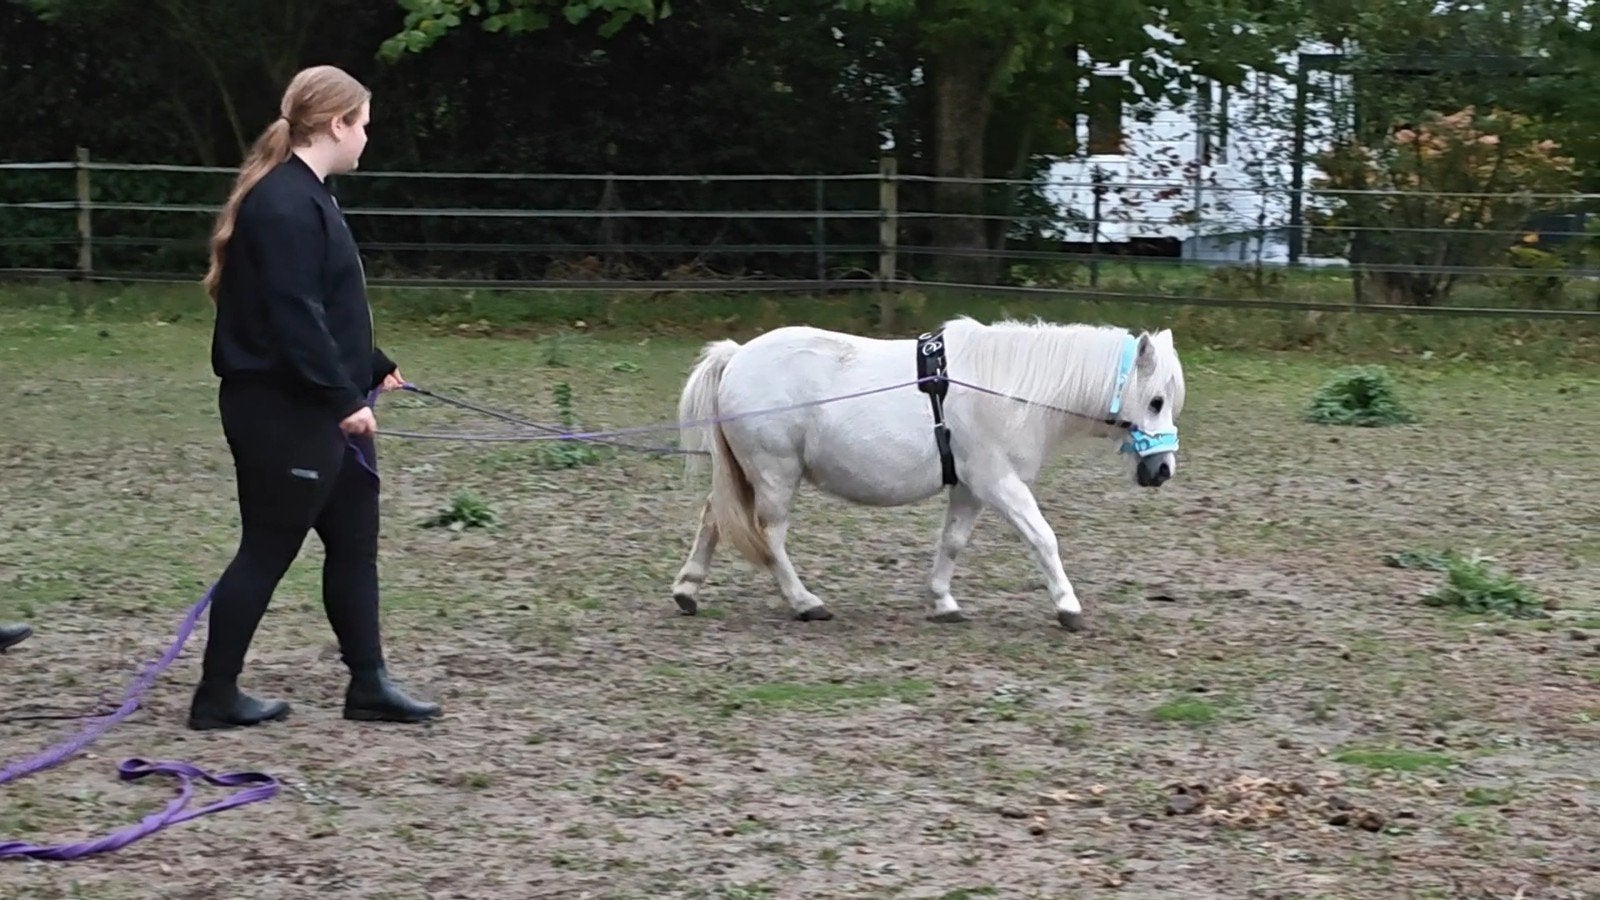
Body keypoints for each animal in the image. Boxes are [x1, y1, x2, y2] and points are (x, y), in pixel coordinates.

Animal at [669, 316, 1185, 630]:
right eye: (1155, 401)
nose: (1162, 470)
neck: (1009, 390)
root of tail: (735, 356)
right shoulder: (999, 483)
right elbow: (1043, 538)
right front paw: (1068, 606)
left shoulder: (971, 488)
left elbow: (952, 542)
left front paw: (942, 601)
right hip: (775, 474)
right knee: (771, 536)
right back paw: (805, 602)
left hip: (748, 474)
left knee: (713, 518)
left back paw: (687, 589)